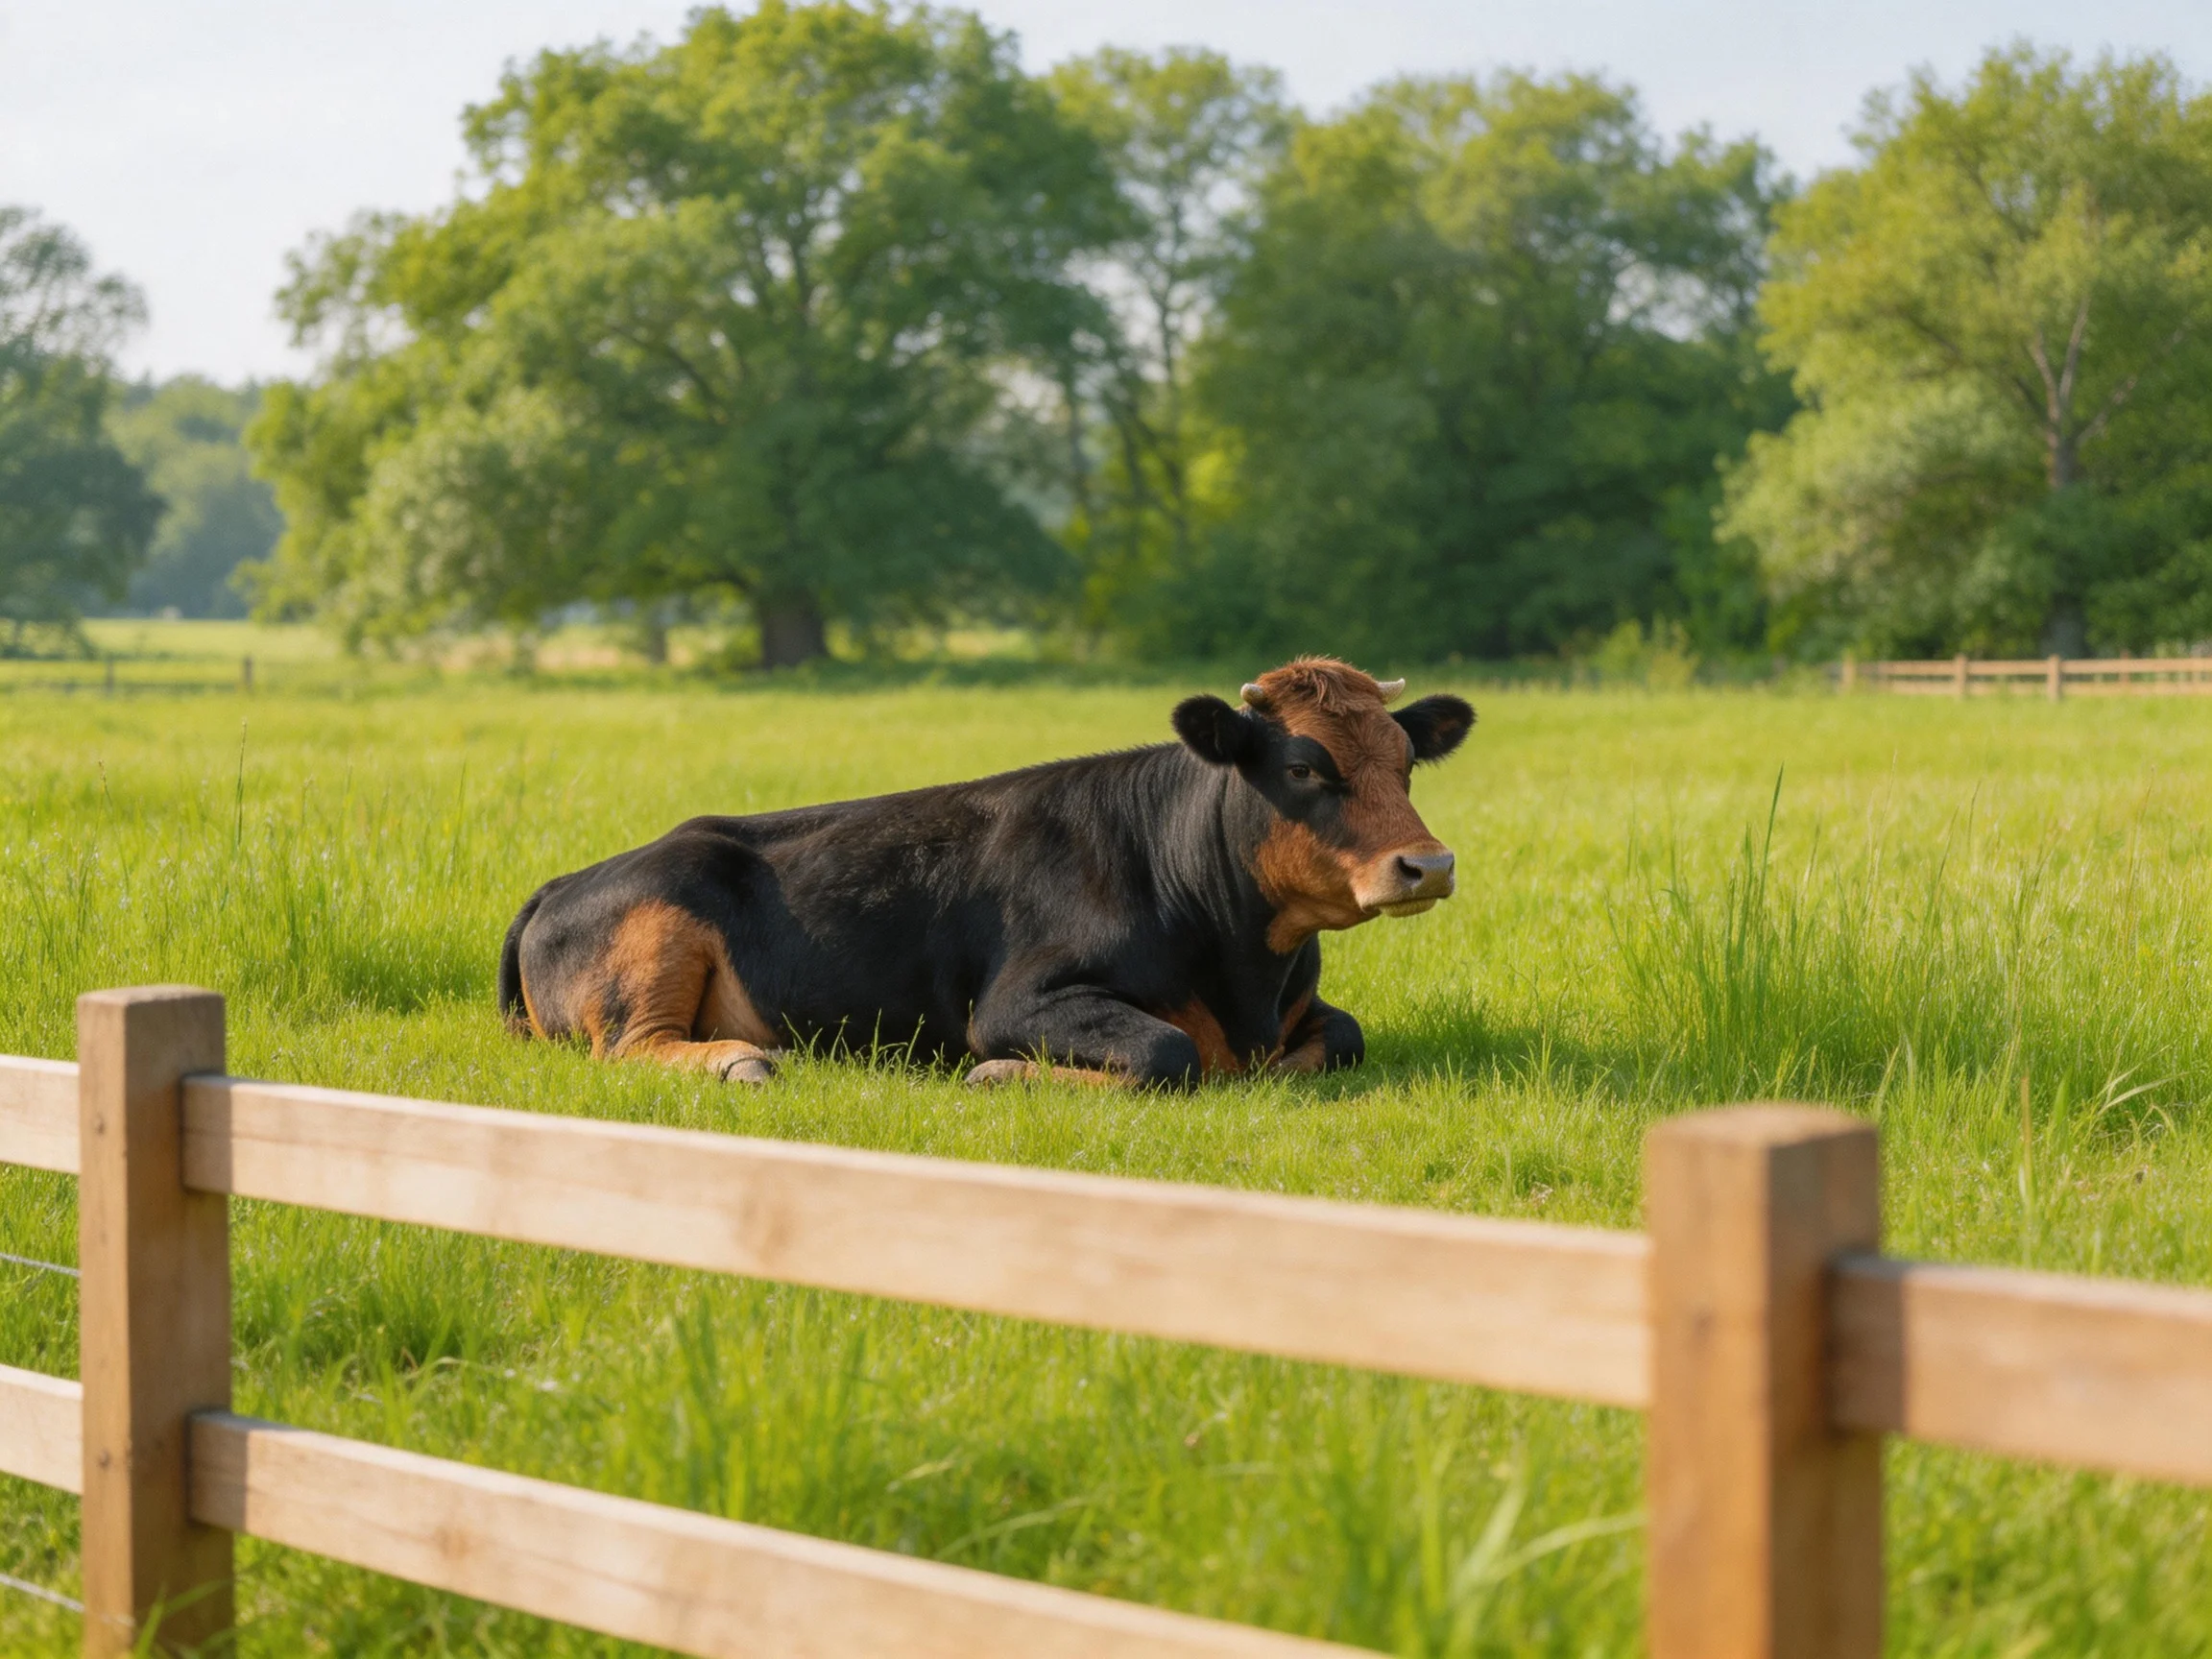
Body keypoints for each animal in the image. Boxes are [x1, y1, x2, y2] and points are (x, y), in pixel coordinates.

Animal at [497, 658, 1474, 1087]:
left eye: (1405, 762)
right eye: (1304, 768)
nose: (1427, 863)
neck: (1242, 966)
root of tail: (565, 881)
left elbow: (1342, 1035)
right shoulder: (1014, 1001)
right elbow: (1168, 1050)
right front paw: (1003, 1075)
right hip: (659, 927)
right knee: (630, 1047)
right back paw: (741, 1060)